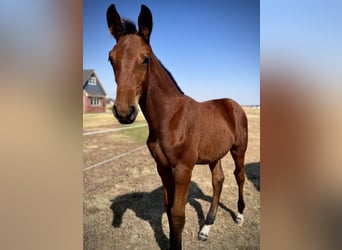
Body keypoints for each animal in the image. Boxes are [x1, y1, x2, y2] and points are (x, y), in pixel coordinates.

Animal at [105, 4, 247, 250]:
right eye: (111, 59)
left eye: (146, 59)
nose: (124, 112)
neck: (170, 117)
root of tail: (233, 104)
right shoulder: (162, 168)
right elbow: (169, 212)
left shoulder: (183, 169)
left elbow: (178, 215)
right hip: (214, 154)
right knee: (218, 181)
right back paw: (206, 228)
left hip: (238, 150)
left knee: (239, 176)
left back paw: (239, 215)